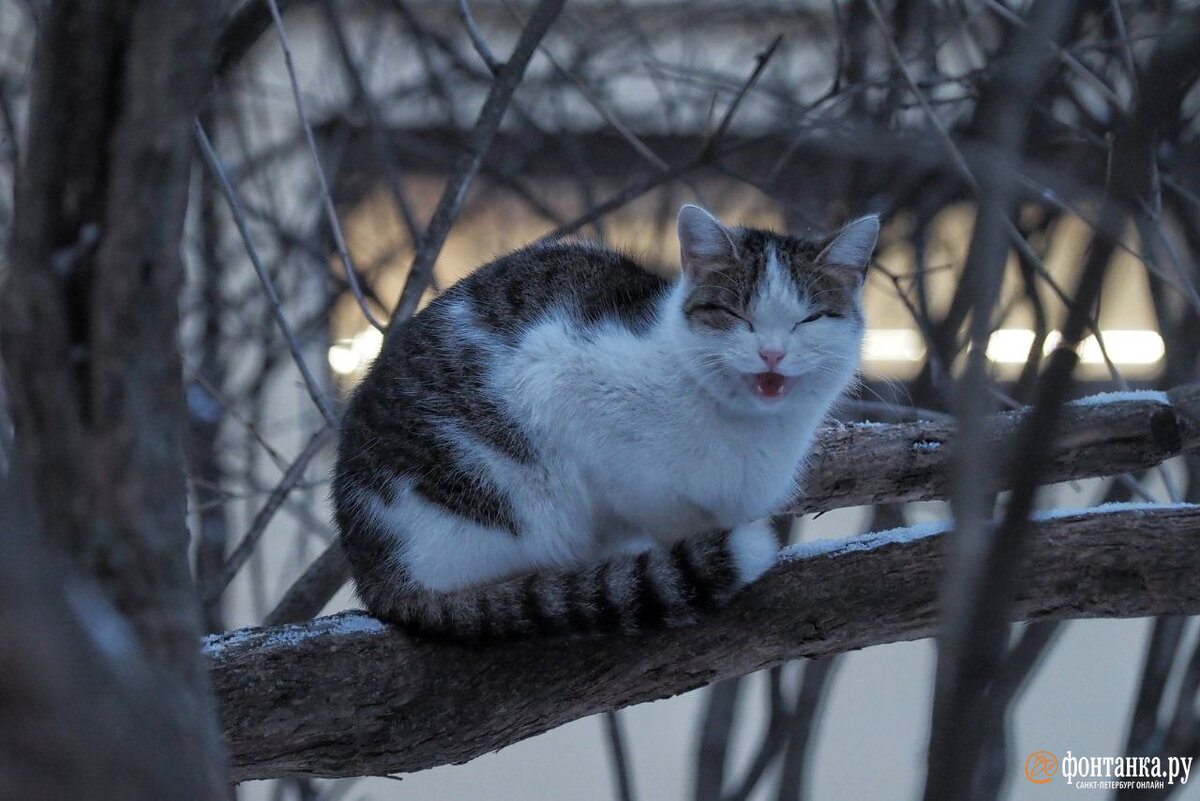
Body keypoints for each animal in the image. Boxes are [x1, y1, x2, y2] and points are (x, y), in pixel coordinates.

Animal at [333, 203, 878, 642]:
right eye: (734, 313)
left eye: (809, 319)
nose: (772, 353)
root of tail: (370, 568)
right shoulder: (559, 376)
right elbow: (654, 504)